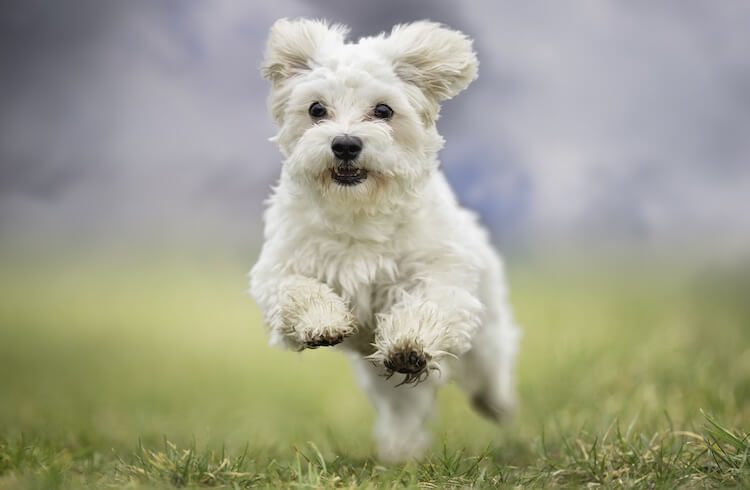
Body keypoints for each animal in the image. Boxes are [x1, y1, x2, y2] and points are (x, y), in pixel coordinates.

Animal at [250, 18, 520, 464]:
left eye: (383, 111)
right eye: (316, 109)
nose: (345, 144)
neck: (359, 208)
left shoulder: (440, 272)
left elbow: (428, 304)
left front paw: (410, 343)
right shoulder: (279, 268)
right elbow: (298, 291)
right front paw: (323, 321)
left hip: (485, 333)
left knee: (490, 368)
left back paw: (496, 403)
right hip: (378, 377)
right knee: (402, 408)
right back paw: (401, 448)